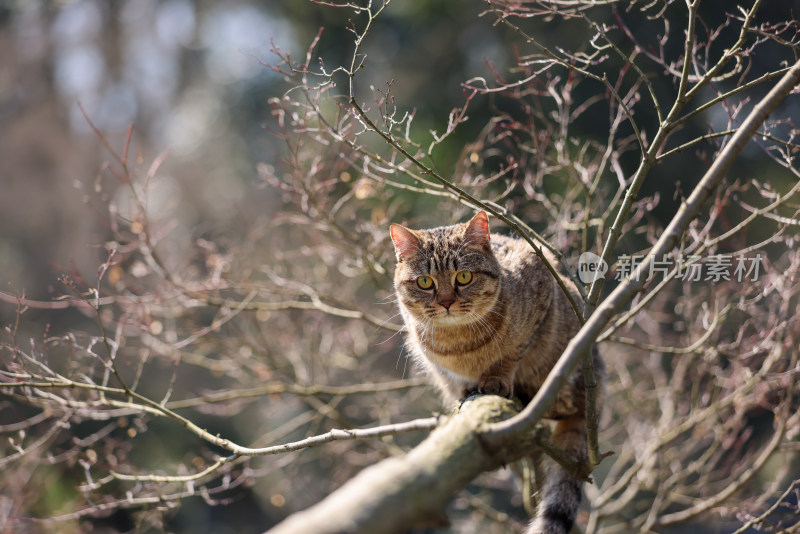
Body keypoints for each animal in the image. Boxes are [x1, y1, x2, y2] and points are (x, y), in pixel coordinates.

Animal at [390, 211, 604, 534]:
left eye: (464, 277)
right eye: (425, 282)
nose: (446, 302)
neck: (459, 345)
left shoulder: (539, 287)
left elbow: (511, 354)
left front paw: (496, 379)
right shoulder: (436, 363)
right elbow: (455, 379)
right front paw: (467, 388)